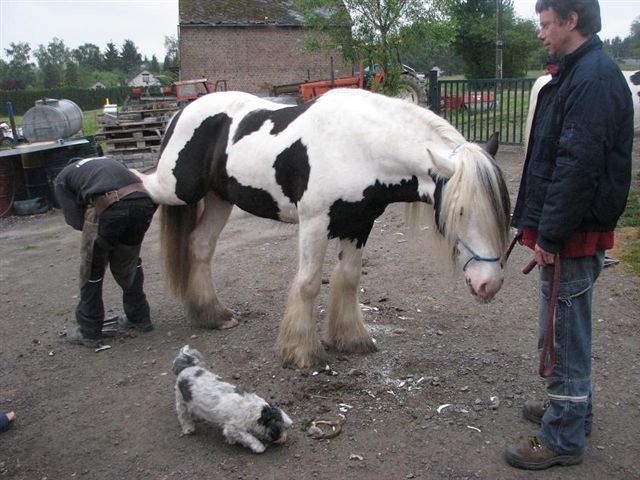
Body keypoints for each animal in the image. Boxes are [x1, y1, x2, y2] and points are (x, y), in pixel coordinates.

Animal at [134, 90, 510, 368]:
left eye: (502, 210)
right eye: (460, 211)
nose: (488, 285)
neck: (360, 145)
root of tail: (181, 112)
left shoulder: (359, 224)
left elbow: (348, 278)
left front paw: (350, 338)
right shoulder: (315, 223)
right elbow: (309, 283)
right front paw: (301, 351)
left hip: (218, 200)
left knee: (200, 245)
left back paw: (213, 314)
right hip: (175, 189)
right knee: (139, 186)